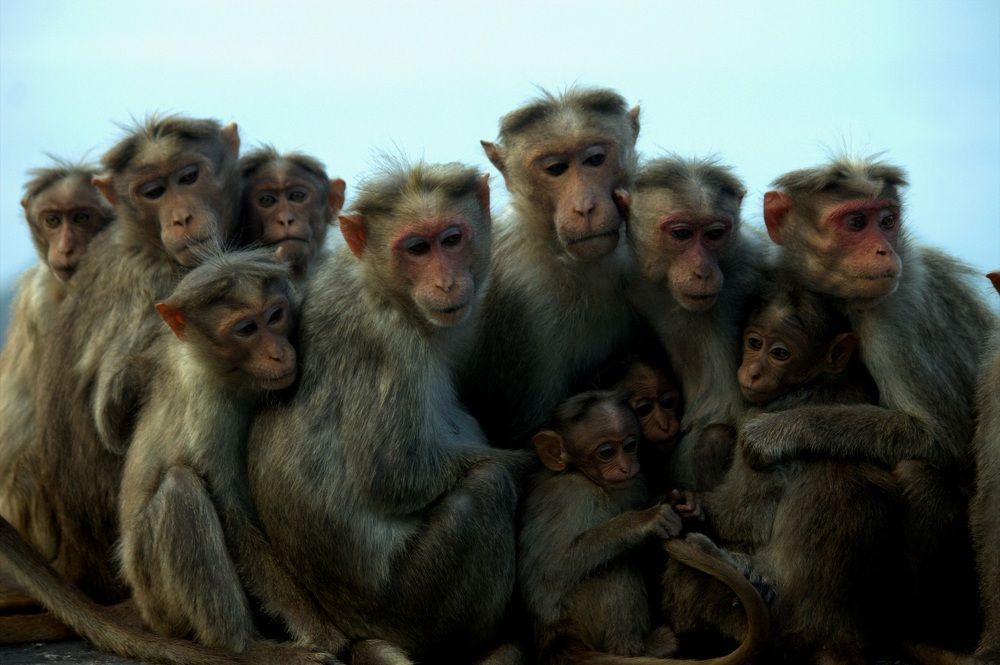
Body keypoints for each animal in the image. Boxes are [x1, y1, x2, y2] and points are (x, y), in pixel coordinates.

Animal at [118, 248, 346, 657]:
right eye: (246, 330)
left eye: (275, 316)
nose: (278, 353)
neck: (224, 373)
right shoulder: (208, 411)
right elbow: (234, 517)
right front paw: (317, 629)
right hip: (156, 593)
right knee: (181, 489)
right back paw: (245, 647)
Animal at [247, 161, 529, 664]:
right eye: (416, 248)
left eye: (451, 239)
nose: (446, 282)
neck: (382, 287)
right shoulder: (391, 346)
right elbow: (394, 475)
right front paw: (532, 461)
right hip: (415, 607)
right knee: (487, 487)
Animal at [521, 389, 769, 665]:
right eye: (607, 452)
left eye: (630, 446)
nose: (627, 466)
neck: (588, 478)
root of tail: (554, 636)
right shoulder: (571, 495)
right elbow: (550, 570)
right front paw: (646, 520)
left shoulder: (632, 483)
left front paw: (682, 501)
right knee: (612, 566)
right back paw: (636, 648)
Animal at [663, 278, 905, 664]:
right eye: (754, 343)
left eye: (780, 353)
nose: (752, 371)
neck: (813, 382)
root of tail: (834, 636)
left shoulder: (760, 428)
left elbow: (744, 517)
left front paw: (695, 503)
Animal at [746, 155, 996, 648]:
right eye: (856, 223)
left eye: (887, 220)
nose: (884, 251)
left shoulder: (894, 313)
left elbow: (938, 436)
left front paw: (779, 431)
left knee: (917, 470)